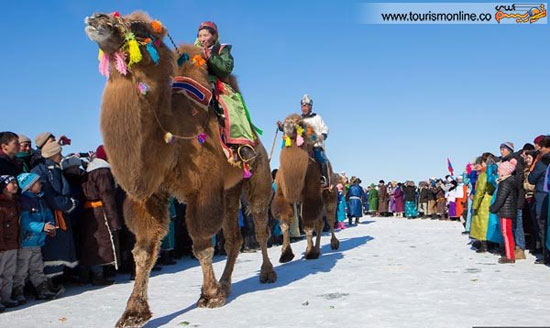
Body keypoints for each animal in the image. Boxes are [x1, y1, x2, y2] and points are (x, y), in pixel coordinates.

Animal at [85, 11, 278, 326]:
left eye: (139, 28)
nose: (97, 18)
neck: (171, 135)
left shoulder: (204, 190)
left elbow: (201, 244)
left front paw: (209, 296)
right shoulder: (150, 194)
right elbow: (143, 250)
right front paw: (133, 312)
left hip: (257, 181)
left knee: (261, 227)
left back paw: (266, 273)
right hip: (231, 191)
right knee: (234, 238)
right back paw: (227, 283)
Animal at [272, 114, 340, 262]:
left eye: (299, 123)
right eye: (284, 123)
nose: (288, 126)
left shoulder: (311, 194)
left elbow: (308, 224)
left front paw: (309, 252)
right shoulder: (282, 195)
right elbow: (285, 223)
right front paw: (285, 254)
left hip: (329, 196)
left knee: (330, 219)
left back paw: (333, 244)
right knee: (320, 223)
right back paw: (318, 249)